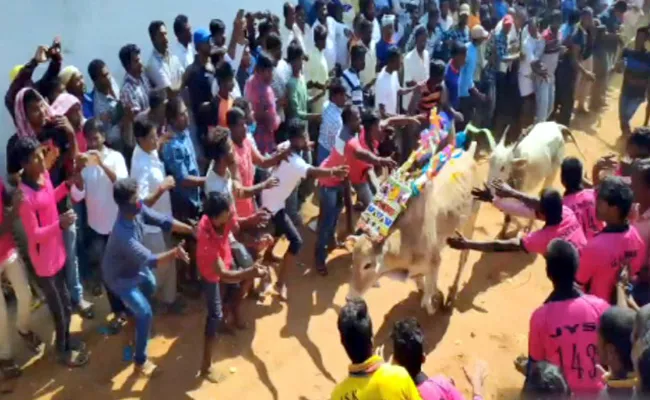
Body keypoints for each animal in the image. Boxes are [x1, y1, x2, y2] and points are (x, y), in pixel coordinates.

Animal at [344, 142, 480, 314]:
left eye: (367, 265)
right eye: (353, 260)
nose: (349, 298)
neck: (406, 239)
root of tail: (468, 153)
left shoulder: (435, 262)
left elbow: (428, 298)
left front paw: (435, 302)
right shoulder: (416, 271)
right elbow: (422, 283)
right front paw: (434, 294)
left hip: (471, 221)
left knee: (464, 256)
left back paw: (452, 294)